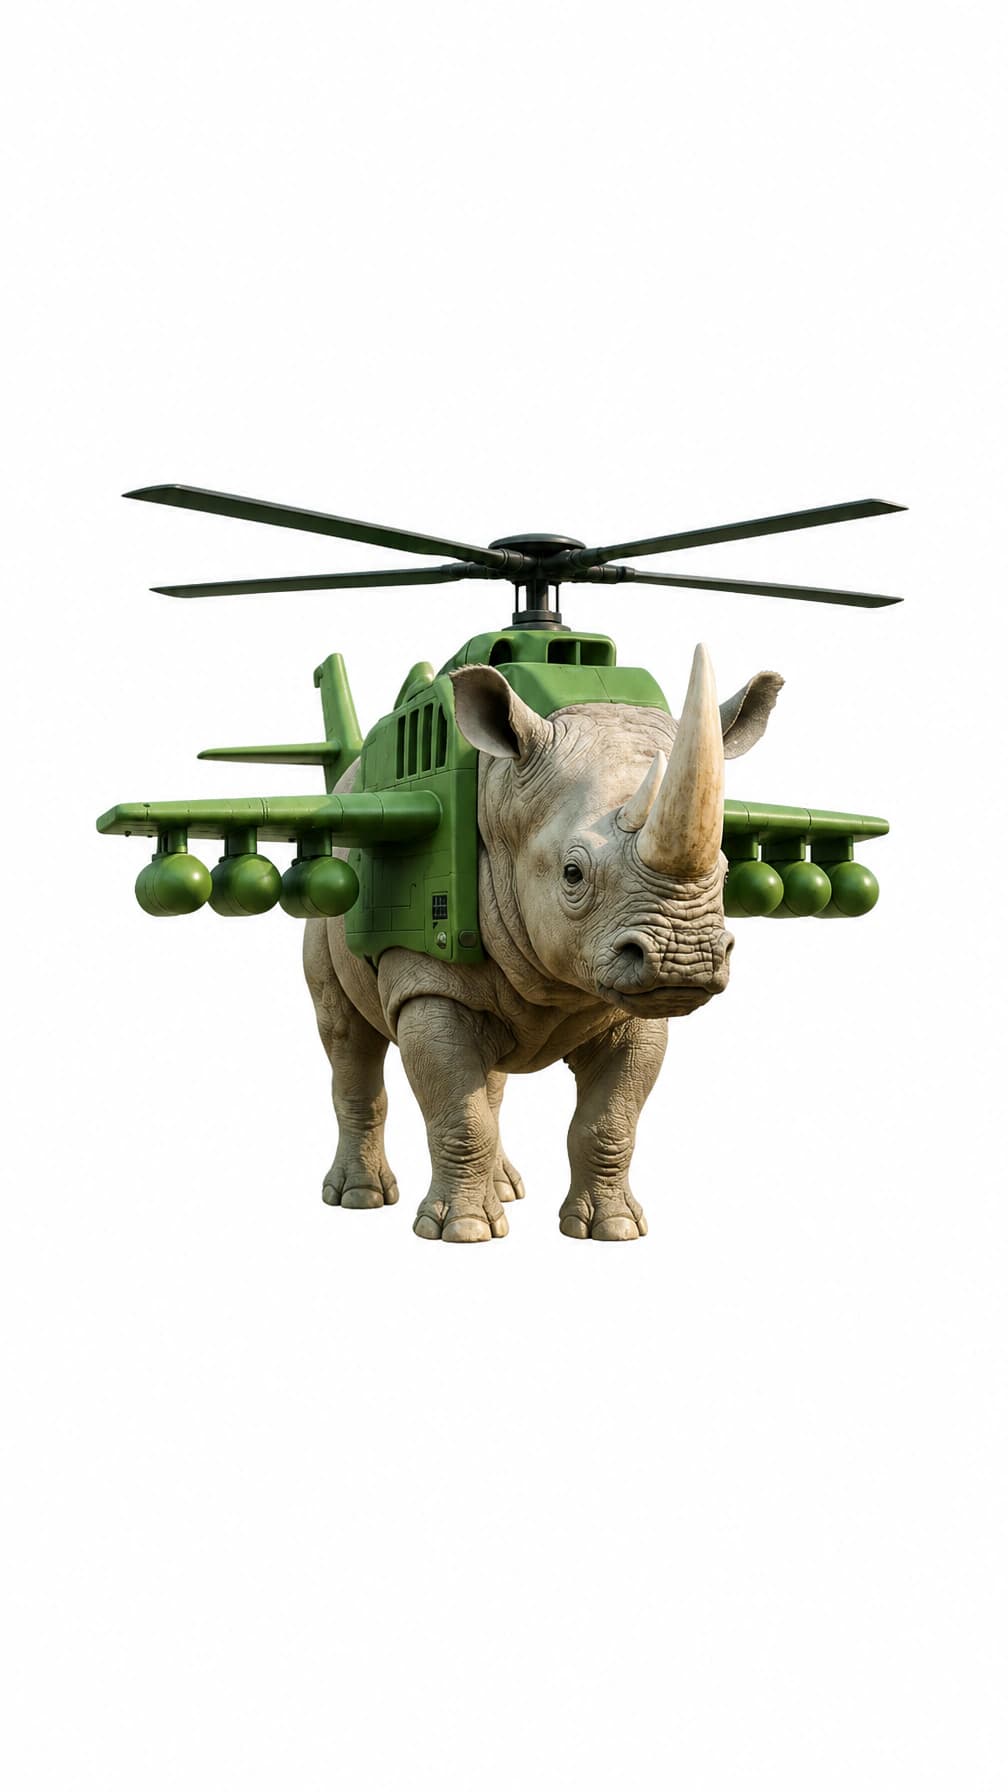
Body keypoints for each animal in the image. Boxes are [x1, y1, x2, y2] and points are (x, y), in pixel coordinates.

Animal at [303, 644, 782, 1242]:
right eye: (572, 873)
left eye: (724, 870)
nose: (684, 962)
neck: (495, 792)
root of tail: (344, 782)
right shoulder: (426, 983)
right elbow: (459, 1116)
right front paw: (463, 1231)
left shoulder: (635, 1007)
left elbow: (609, 1122)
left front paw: (612, 1228)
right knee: (346, 1034)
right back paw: (359, 1199)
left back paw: (506, 1189)